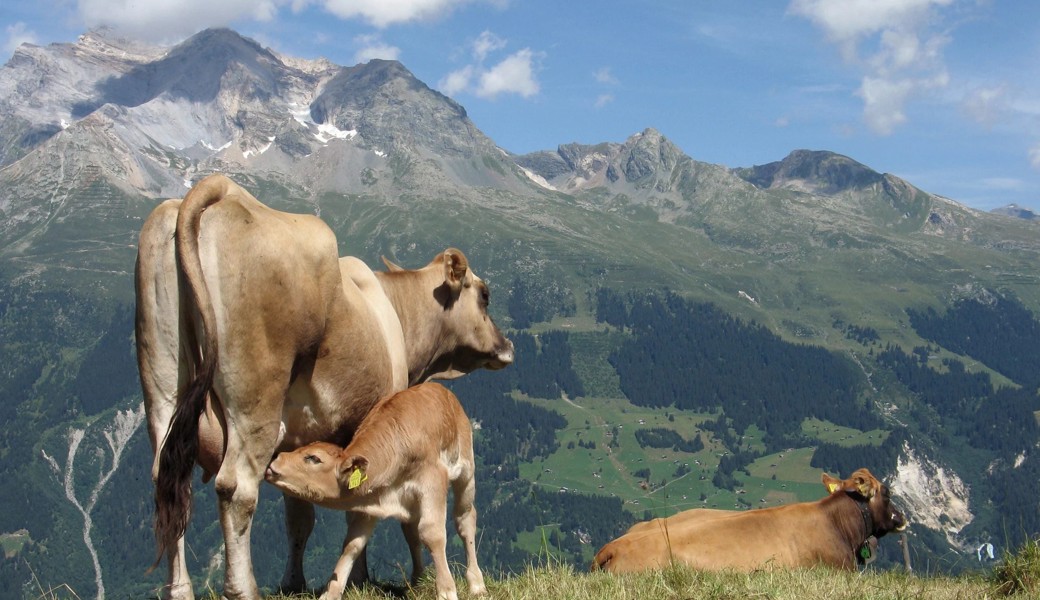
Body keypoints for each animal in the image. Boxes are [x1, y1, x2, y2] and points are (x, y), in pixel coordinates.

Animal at [265, 382, 486, 600]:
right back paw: (418, 582)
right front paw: (330, 593)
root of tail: (440, 388)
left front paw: (447, 590)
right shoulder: (369, 500)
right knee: (411, 532)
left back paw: (476, 584)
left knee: (465, 519)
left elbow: (433, 534)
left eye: (313, 458)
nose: (276, 458)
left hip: (466, 471)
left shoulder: (432, 482)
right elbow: (352, 544)